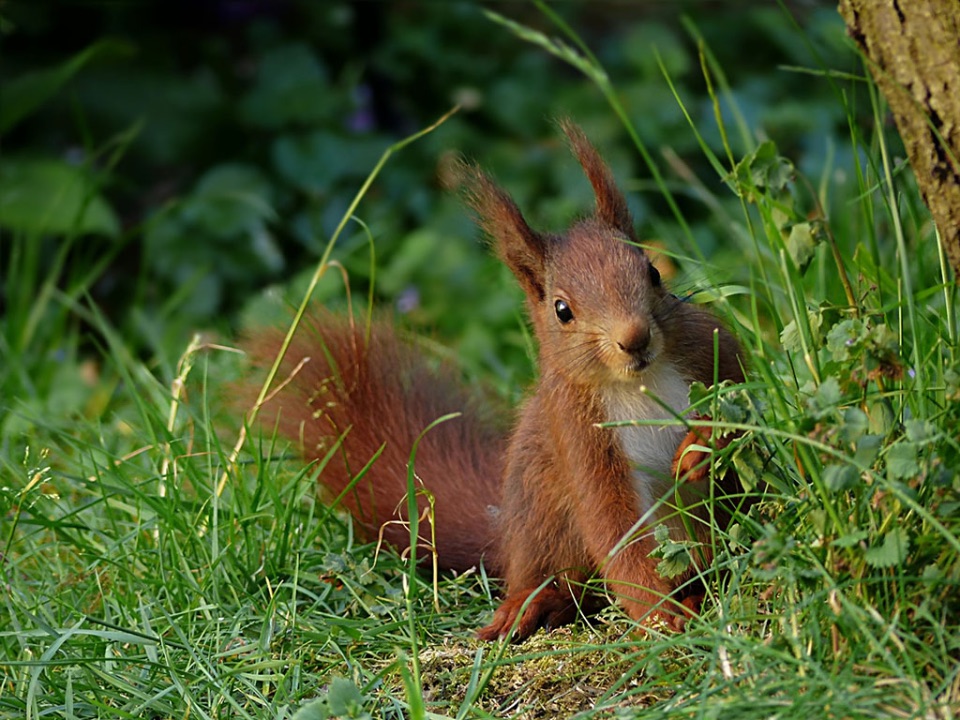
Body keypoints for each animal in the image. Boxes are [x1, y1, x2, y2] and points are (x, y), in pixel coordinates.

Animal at [246, 122, 744, 640]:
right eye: (562, 310)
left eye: (651, 271)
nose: (635, 338)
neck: (634, 382)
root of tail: (504, 533)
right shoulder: (577, 433)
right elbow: (614, 524)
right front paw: (661, 614)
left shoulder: (709, 345)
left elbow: (745, 397)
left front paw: (704, 444)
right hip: (542, 517)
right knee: (564, 581)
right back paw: (532, 604)